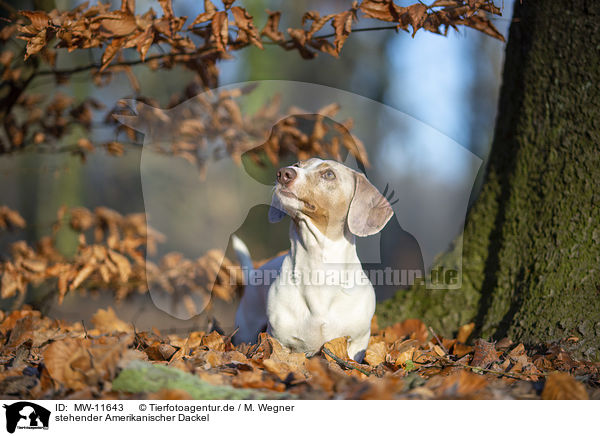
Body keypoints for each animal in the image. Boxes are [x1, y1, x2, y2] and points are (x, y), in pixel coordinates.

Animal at [231, 158, 394, 362]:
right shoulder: (280, 339)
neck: (317, 267)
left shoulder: (357, 341)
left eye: (329, 174)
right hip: (245, 328)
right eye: (297, 164)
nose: (284, 173)